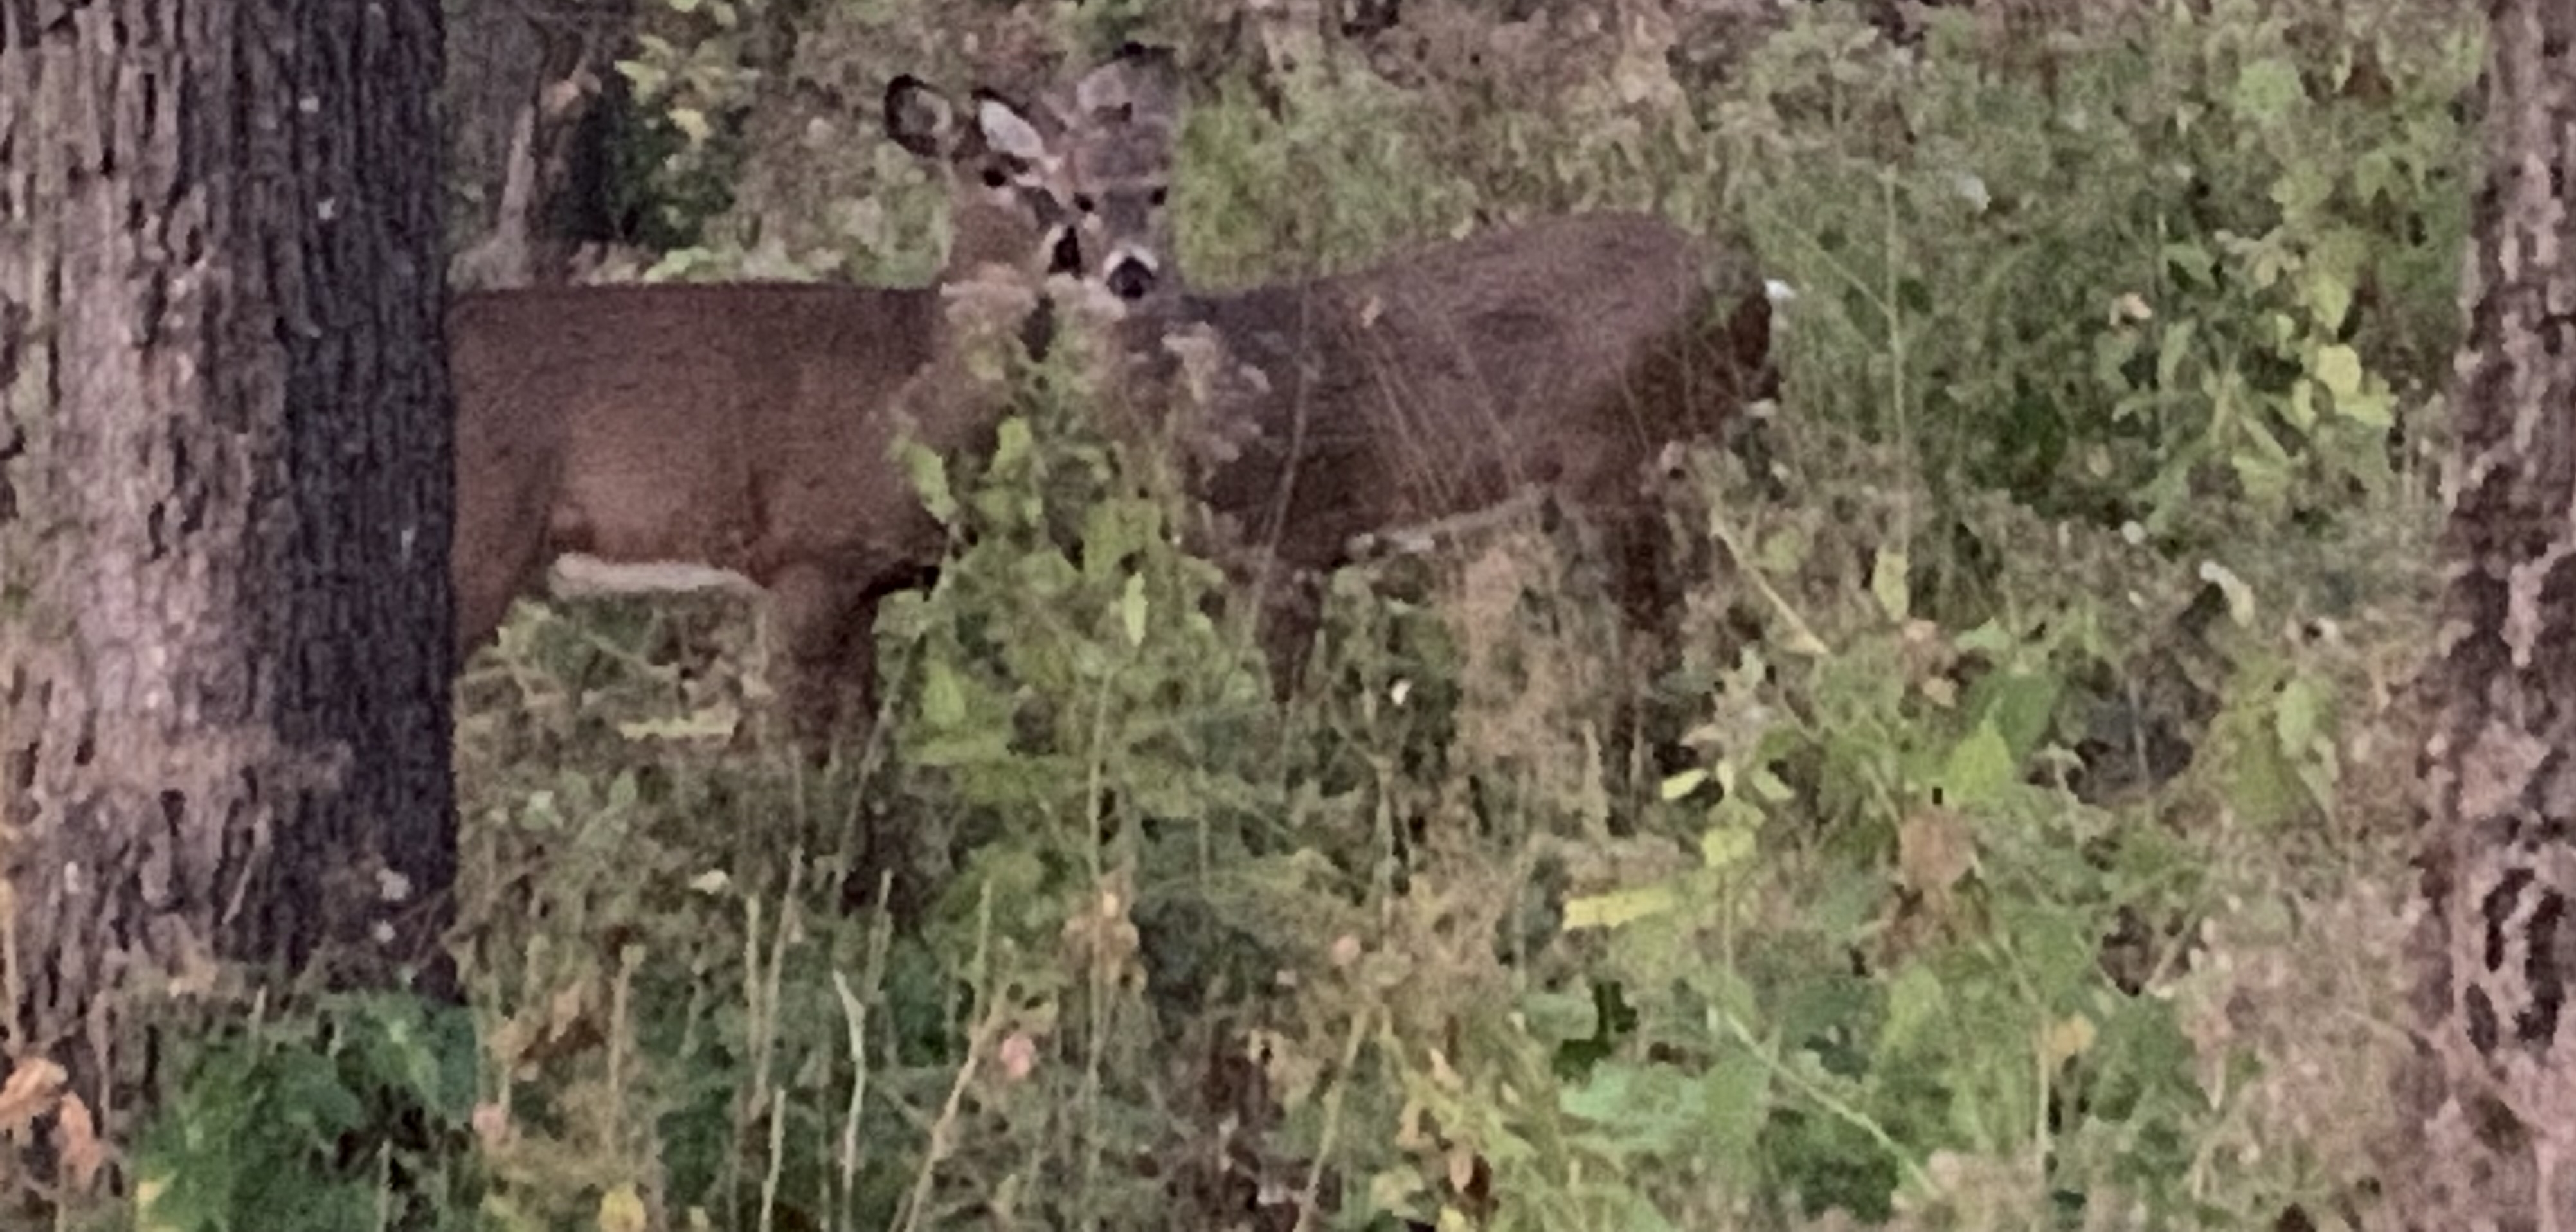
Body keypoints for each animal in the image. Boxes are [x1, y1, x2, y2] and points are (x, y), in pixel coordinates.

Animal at [447, 72, 1085, 755]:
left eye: (1085, 183)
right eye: (994, 173)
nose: (1072, 246)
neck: (910, 398)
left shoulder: (862, 585)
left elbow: (861, 738)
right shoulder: (805, 558)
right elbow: (798, 743)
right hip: (482, 539)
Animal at [1037, 48, 1780, 697]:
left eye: (1160, 191)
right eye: (1078, 200)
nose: (1130, 273)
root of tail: (1751, 289)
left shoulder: (1292, 539)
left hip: (1612, 452)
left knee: (1660, 624)